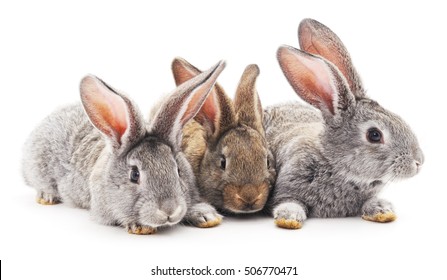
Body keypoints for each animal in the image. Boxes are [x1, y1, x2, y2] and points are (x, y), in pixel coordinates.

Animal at [21, 61, 226, 234]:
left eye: (178, 171)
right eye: (134, 175)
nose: (169, 210)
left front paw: (206, 215)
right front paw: (140, 227)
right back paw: (47, 196)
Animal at [264, 18, 426, 230]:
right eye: (374, 135)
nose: (419, 162)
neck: (334, 164)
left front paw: (383, 210)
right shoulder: (286, 185)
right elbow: (289, 202)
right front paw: (289, 218)